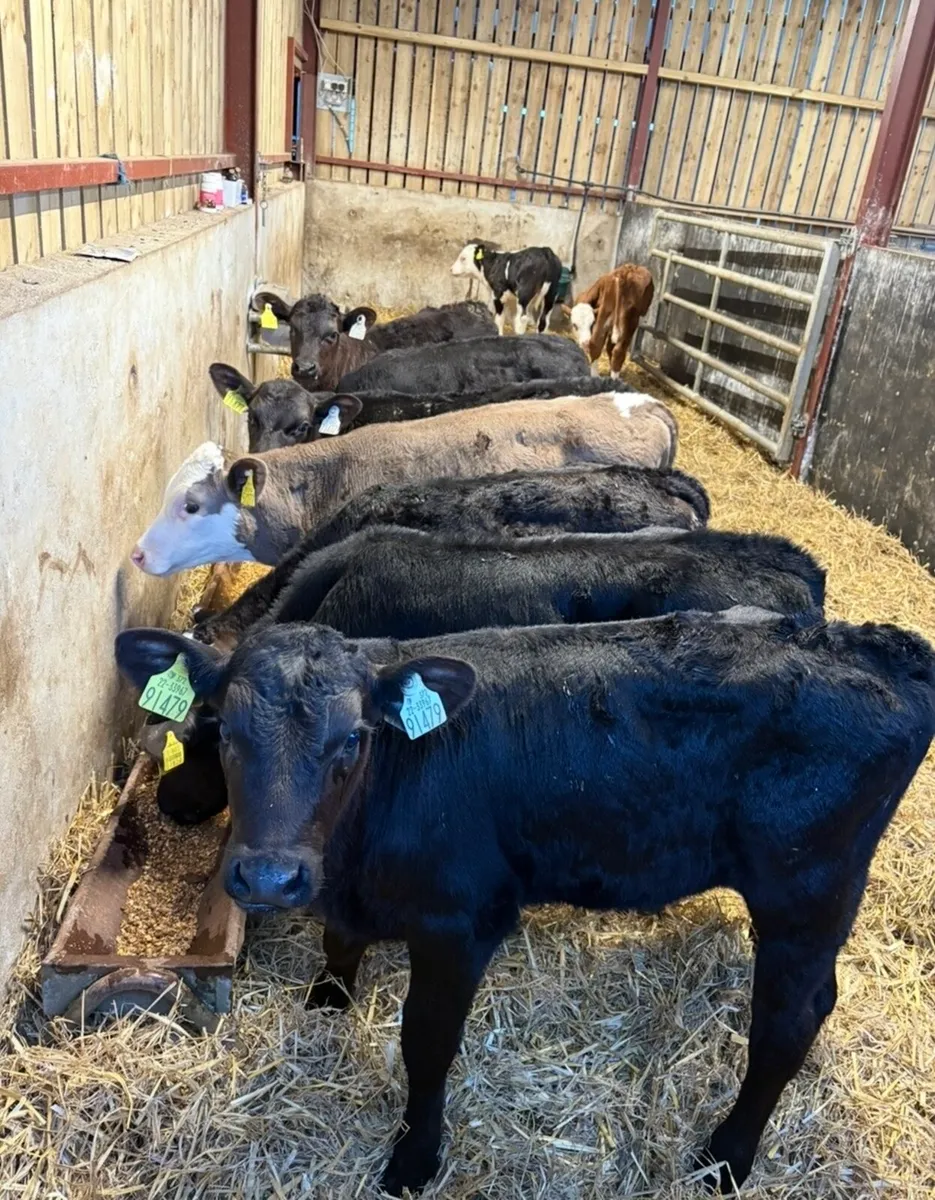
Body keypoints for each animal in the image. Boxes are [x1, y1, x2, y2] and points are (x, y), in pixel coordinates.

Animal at [115, 609, 935, 1195]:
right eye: (223, 728)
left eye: (351, 738)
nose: (268, 877)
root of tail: (878, 643)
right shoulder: (349, 897)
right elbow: (339, 943)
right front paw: (327, 1001)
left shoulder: (460, 923)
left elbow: (426, 1043)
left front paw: (413, 1161)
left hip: (808, 891)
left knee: (790, 1018)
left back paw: (725, 1159)